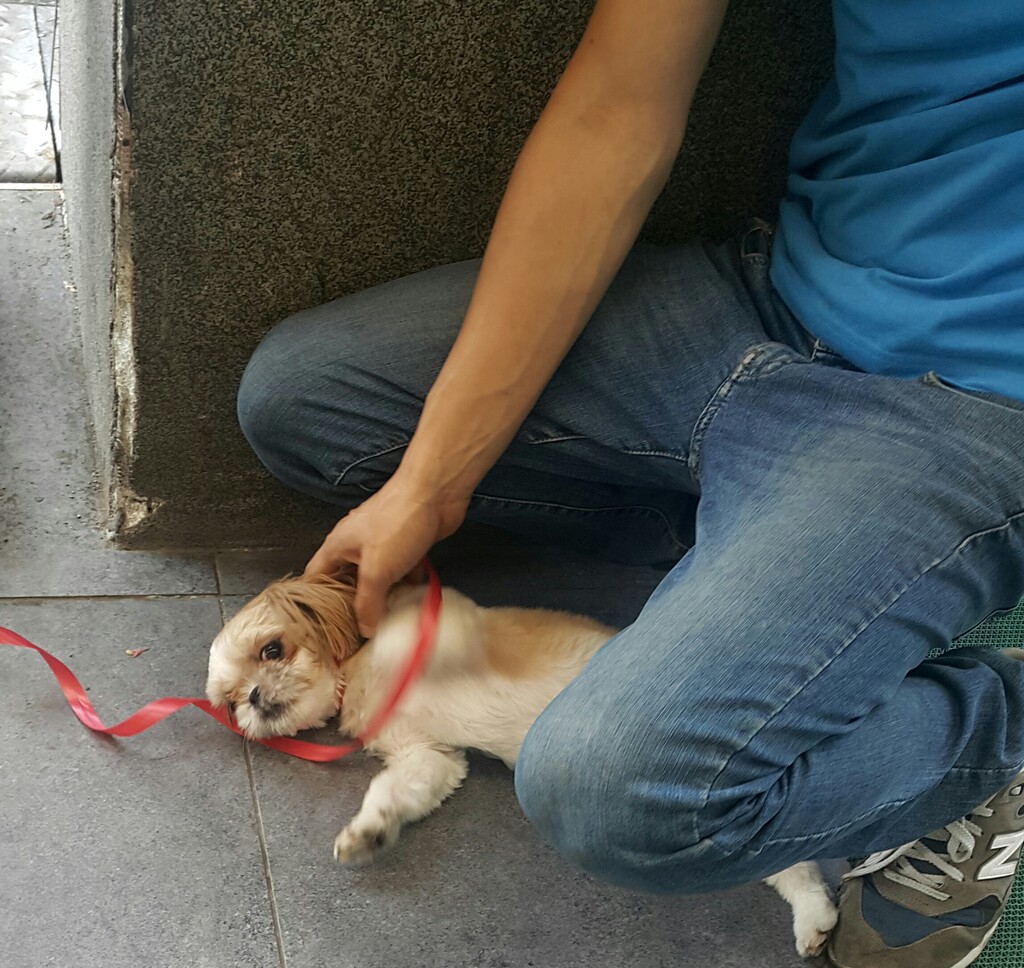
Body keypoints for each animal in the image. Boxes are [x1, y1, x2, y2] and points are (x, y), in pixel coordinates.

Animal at [206, 573, 838, 957]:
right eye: (230, 701)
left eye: (272, 649)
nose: (255, 698)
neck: (359, 674)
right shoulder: (424, 752)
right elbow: (398, 789)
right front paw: (369, 833)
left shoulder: (437, 619)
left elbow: (430, 628)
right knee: (788, 860)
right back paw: (813, 917)